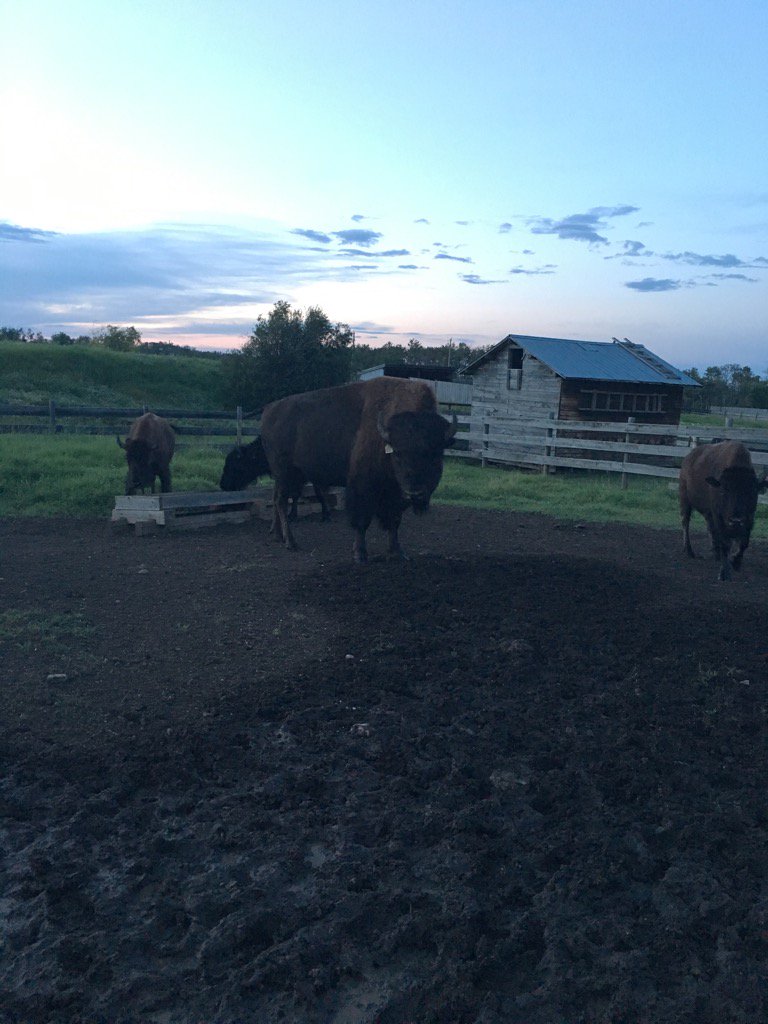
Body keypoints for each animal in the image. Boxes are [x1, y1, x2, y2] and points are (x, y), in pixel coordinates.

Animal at [259, 376, 457, 562]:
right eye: (397, 453)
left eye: (435, 454)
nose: (414, 493)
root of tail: (269, 410)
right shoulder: (362, 487)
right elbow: (362, 521)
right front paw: (360, 554)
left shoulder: (395, 493)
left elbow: (394, 521)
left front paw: (397, 552)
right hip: (285, 474)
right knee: (281, 501)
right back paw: (291, 542)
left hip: (287, 476)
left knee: (277, 500)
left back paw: (278, 536)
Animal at [679, 440, 766, 581]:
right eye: (723, 490)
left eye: (752, 492)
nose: (736, 520)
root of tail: (688, 458)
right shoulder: (719, 517)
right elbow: (725, 543)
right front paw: (724, 573)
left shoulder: (749, 518)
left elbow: (744, 542)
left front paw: (736, 562)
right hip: (685, 500)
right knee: (685, 523)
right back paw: (689, 551)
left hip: (707, 512)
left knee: (710, 528)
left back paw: (716, 553)